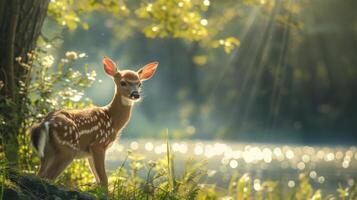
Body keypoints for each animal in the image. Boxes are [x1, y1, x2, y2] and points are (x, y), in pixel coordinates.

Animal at [29, 56, 158, 186]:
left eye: (139, 84)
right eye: (123, 82)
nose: (135, 94)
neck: (113, 120)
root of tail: (45, 122)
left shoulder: (89, 153)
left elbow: (98, 180)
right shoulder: (98, 144)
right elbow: (104, 180)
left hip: (48, 152)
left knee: (40, 174)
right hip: (67, 148)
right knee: (48, 176)